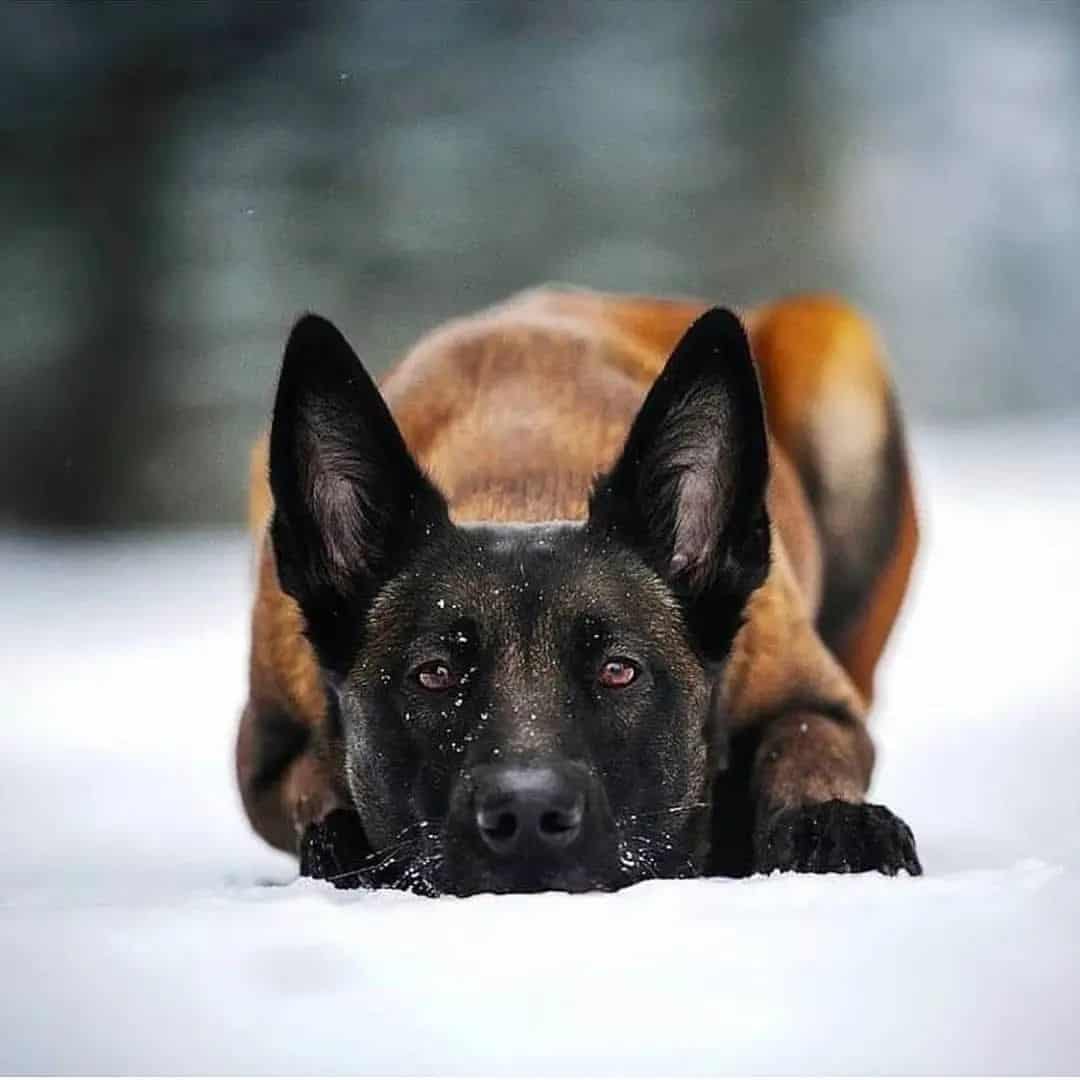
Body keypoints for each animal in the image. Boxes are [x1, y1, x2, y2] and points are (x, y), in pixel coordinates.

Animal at [234, 285, 920, 894]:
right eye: (434, 675)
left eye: (619, 671)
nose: (527, 818)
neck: (525, 490)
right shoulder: (264, 759)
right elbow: (309, 779)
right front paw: (339, 839)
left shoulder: (815, 697)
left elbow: (805, 742)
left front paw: (829, 822)